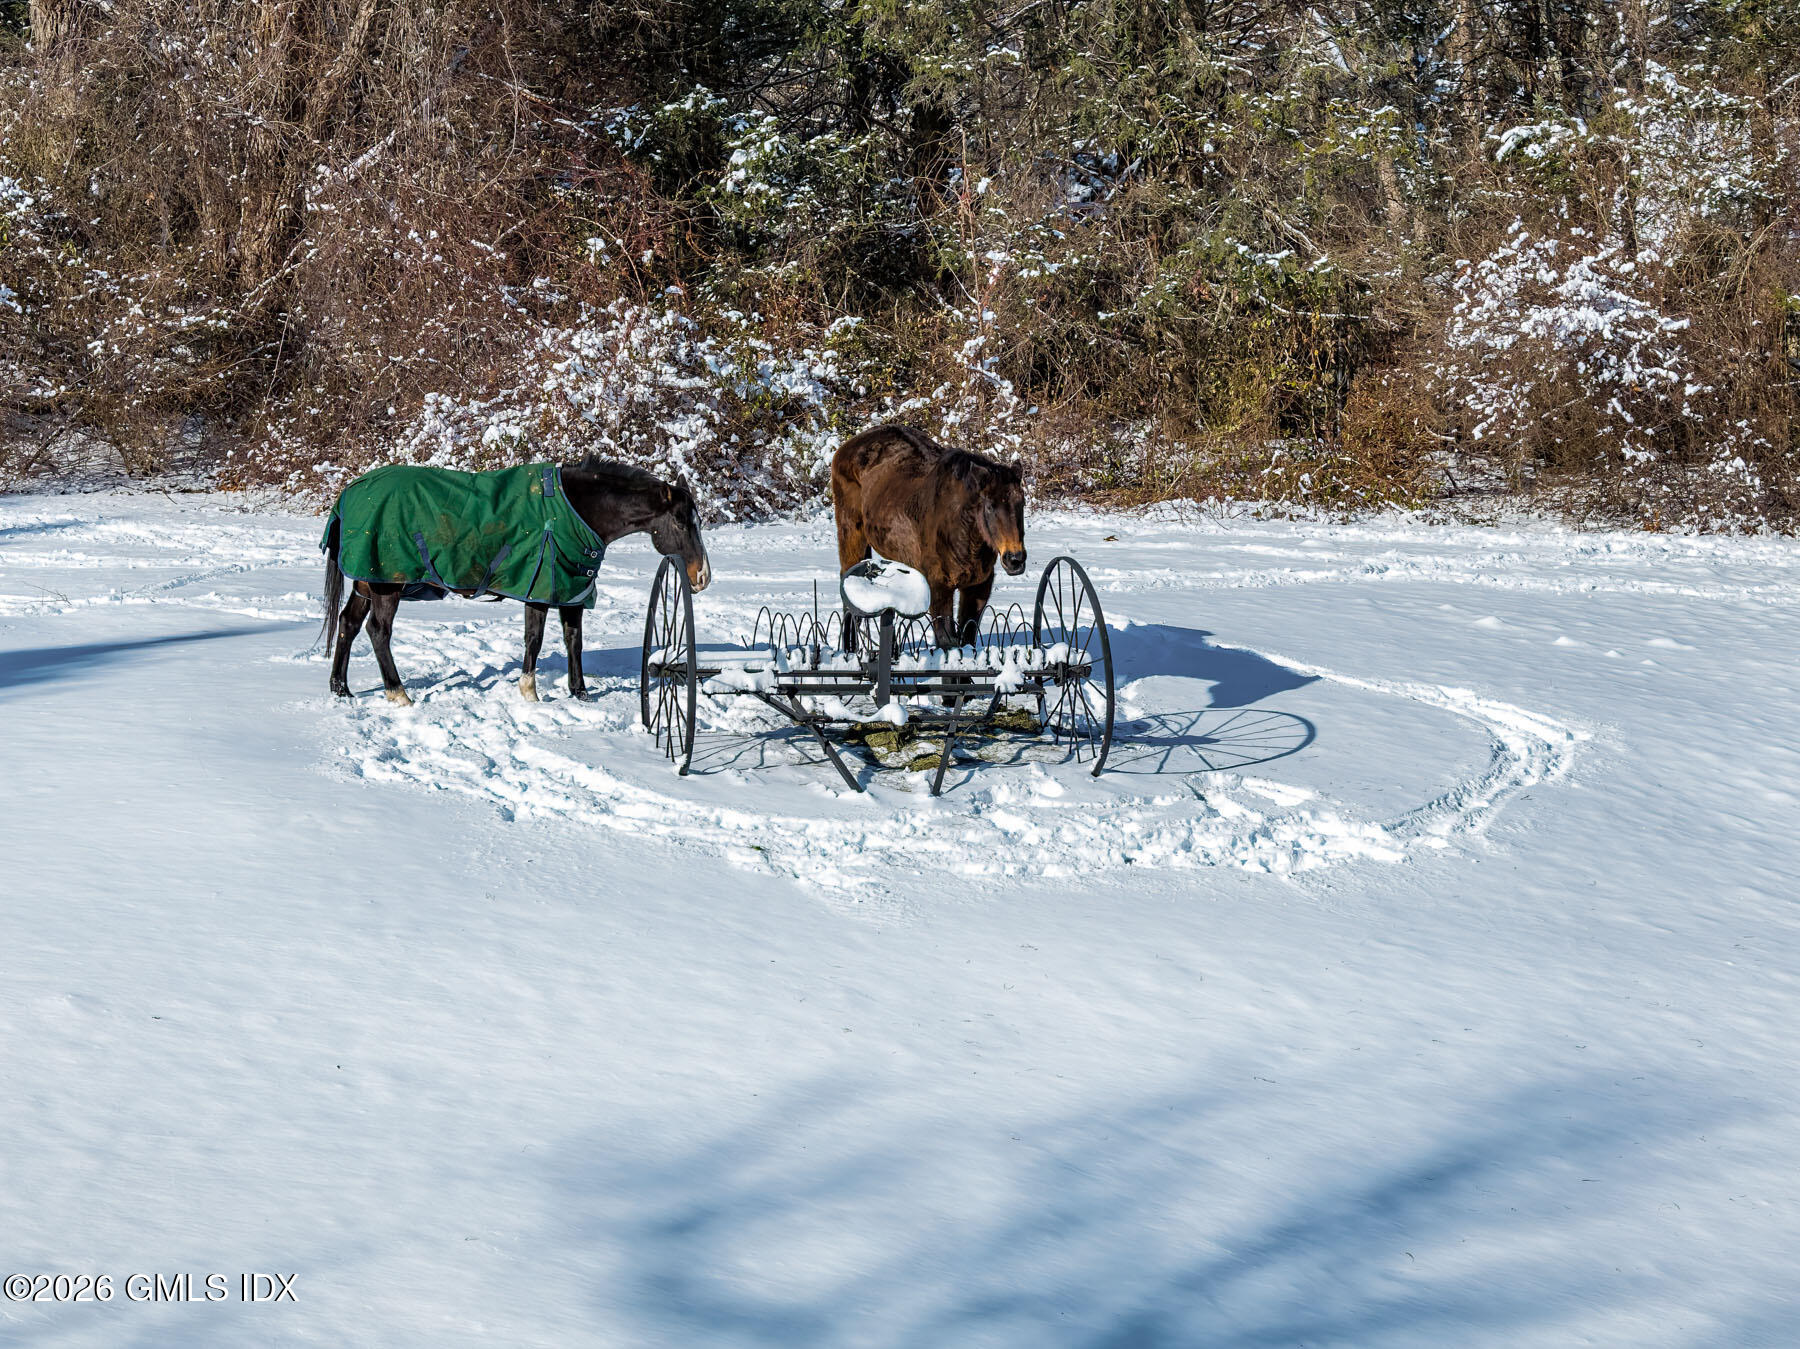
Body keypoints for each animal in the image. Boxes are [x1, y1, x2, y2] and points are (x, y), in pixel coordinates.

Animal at [320, 458, 709, 705]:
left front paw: (580, 694)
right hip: (386, 586)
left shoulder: (571, 593)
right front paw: (530, 692)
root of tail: (350, 492)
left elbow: (574, 641)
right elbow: (534, 640)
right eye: (680, 521)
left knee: (348, 624)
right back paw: (399, 694)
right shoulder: (541, 590)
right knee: (378, 632)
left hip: (366, 582)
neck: (575, 510)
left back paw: (341, 689)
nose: (703, 576)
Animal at [830, 424, 1026, 650]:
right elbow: (947, 641)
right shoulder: (939, 587)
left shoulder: (977, 588)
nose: (1015, 559)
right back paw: (849, 648)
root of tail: (845, 448)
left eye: (1021, 503)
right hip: (851, 537)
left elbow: (966, 639)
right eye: (990, 506)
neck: (961, 530)